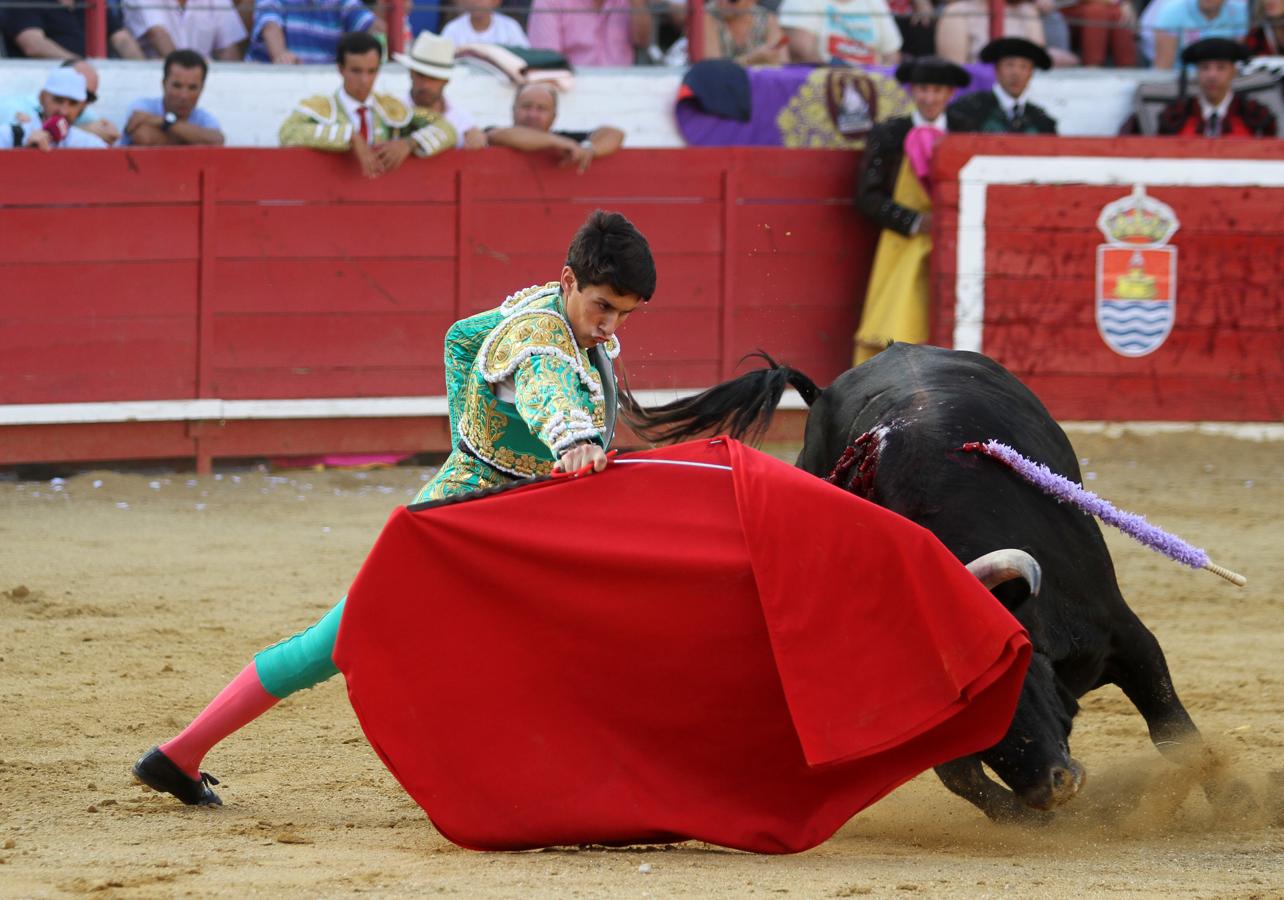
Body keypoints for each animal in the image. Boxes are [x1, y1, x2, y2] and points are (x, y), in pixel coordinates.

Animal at [636, 344, 1227, 821]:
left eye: (1011, 679)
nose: (1052, 788)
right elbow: (959, 774)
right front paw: (1033, 820)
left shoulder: (1125, 636)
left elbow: (1175, 732)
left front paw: (1237, 807)